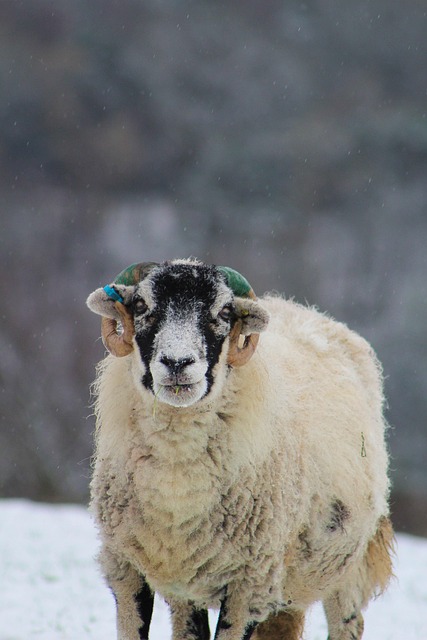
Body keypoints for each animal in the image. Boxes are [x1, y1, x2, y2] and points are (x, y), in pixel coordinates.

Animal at [86, 258, 394, 640]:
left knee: (348, 623)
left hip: (345, 563)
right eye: (141, 306)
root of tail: (305, 309)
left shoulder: (249, 584)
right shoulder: (128, 570)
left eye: (224, 311)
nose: (177, 362)